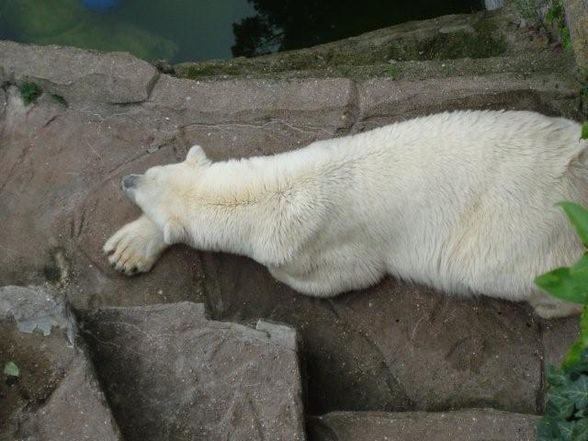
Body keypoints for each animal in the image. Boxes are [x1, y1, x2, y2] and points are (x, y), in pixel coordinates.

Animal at [104, 109, 588, 316]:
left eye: (142, 191)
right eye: (149, 171)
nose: (126, 180)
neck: (275, 190)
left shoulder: (318, 244)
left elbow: (344, 277)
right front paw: (127, 248)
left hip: (518, 239)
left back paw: (548, 309)